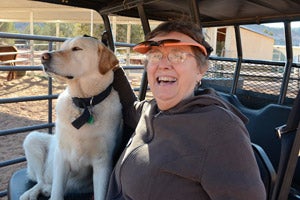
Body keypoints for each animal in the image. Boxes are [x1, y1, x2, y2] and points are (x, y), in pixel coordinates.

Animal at [19, 36, 122, 200]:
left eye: (77, 48)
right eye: (62, 47)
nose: (44, 56)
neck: (84, 104)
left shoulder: (103, 162)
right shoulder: (61, 156)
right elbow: (57, 192)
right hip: (32, 139)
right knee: (41, 179)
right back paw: (32, 192)